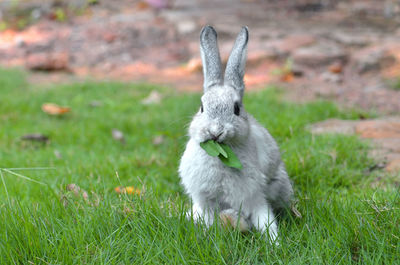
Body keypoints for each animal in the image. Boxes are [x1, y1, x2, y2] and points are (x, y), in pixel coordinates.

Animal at [178, 25, 294, 241]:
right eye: (201, 107)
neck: (221, 155)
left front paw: (275, 243)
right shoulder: (205, 200)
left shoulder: (253, 196)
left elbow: (264, 219)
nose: (215, 131)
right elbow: (209, 219)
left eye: (237, 109)